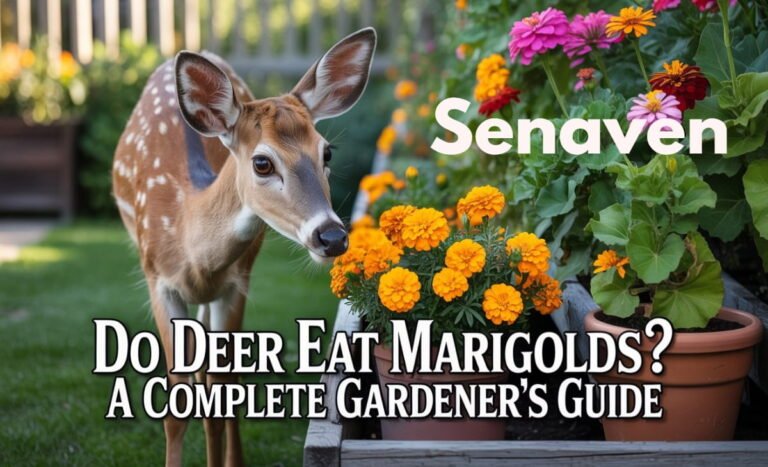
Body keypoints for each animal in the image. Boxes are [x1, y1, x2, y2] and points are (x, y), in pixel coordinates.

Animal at [111, 28, 376, 466]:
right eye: (262, 163)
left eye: (327, 152)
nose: (332, 236)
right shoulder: (158, 282)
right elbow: (177, 405)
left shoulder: (234, 285)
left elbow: (222, 390)